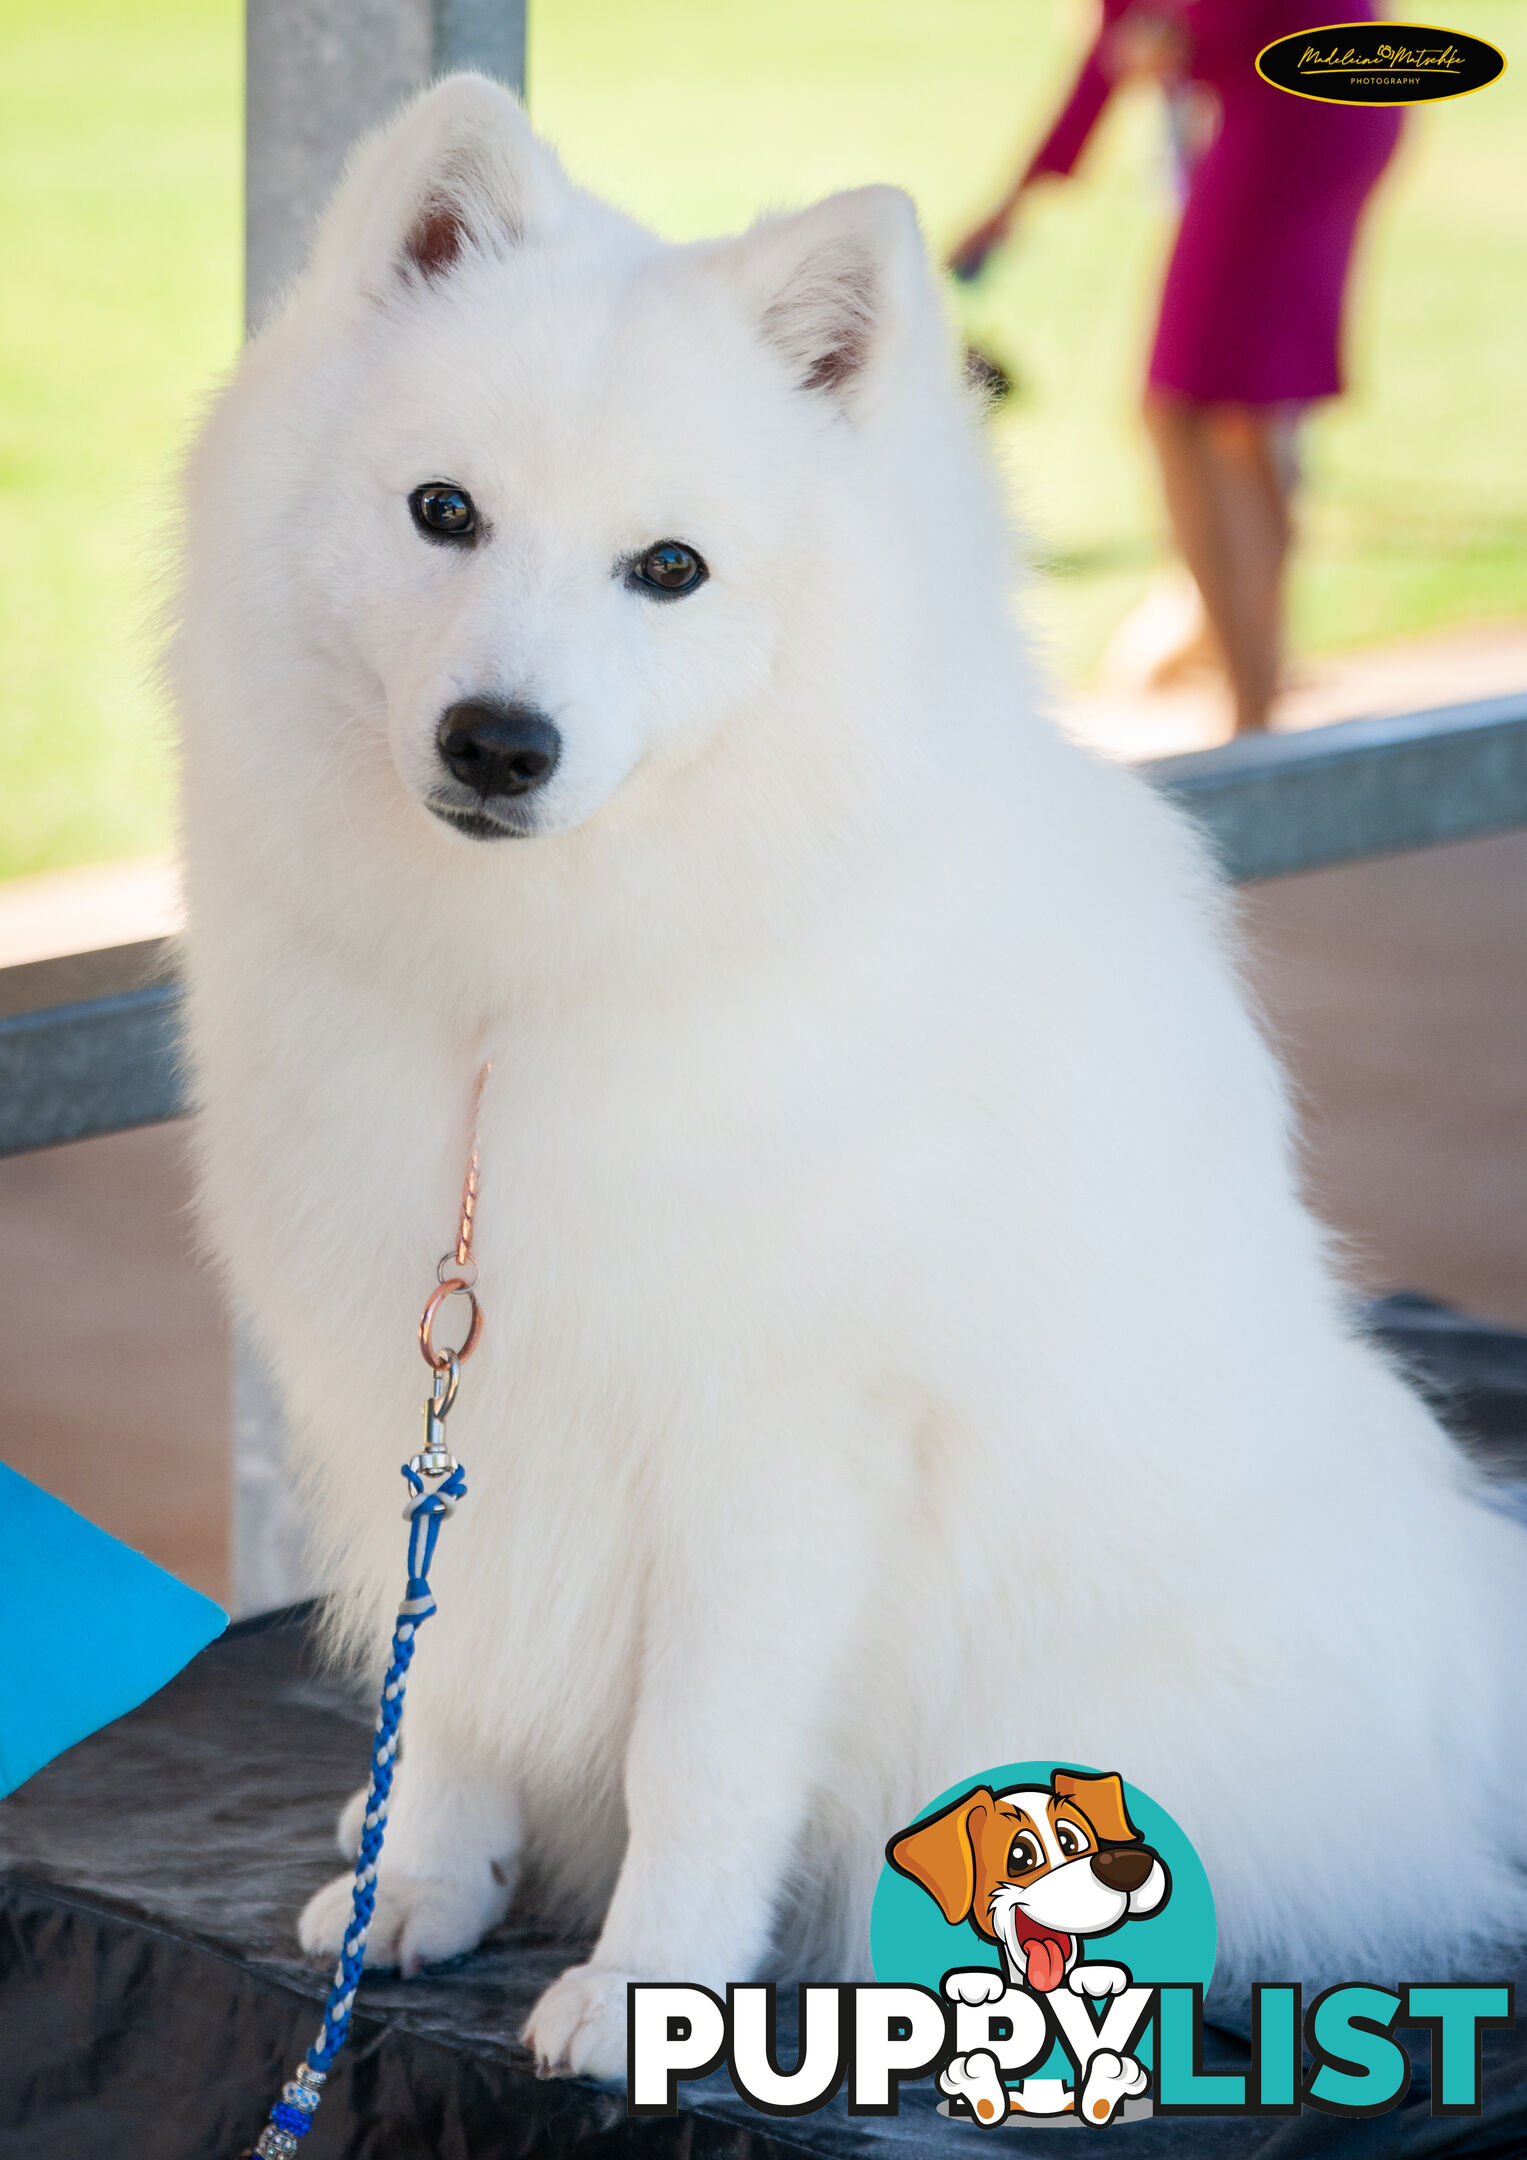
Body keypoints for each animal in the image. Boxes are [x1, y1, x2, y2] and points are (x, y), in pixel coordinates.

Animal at [176, 79, 1527, 2073]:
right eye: (443, 514)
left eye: (669, 570)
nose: (497, 742)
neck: (530, 987)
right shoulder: (445, 1403)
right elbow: (457, 1685)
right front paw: (420, 1885)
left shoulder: (772, 1456)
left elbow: (698, 1761)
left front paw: (646, 1992)